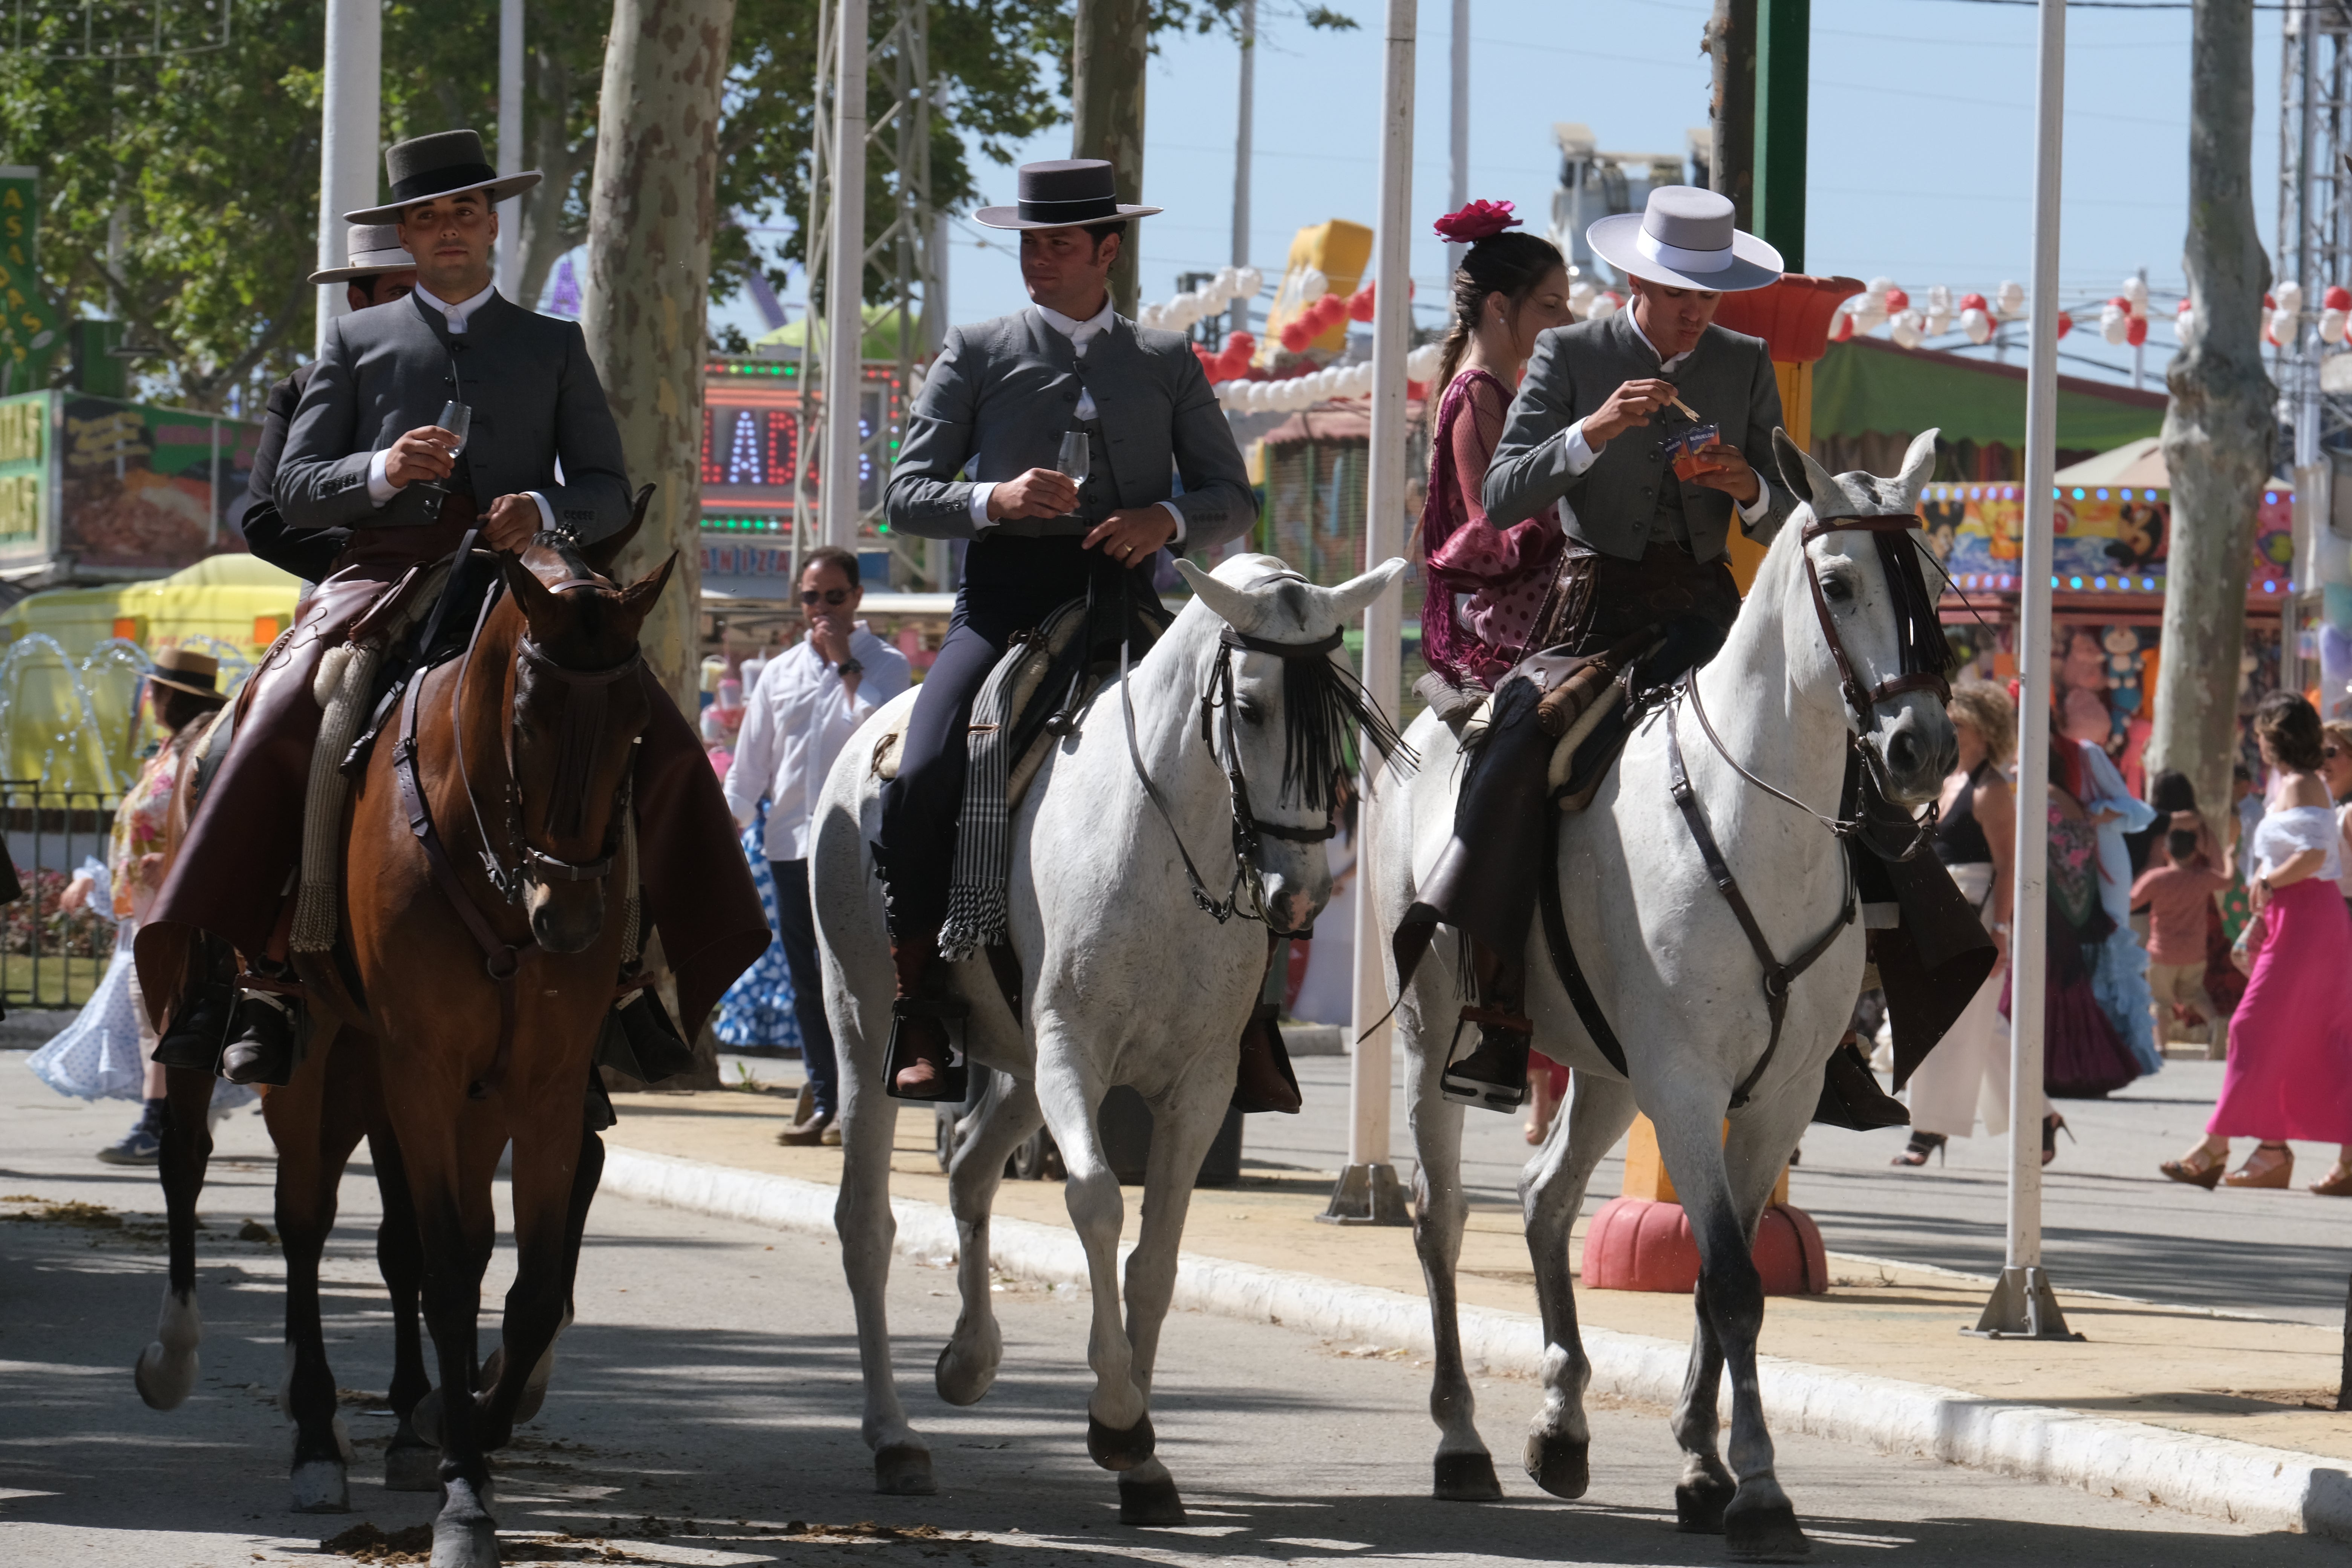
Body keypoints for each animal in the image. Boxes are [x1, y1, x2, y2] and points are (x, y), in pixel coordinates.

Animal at [814, 552, 1392, 1523]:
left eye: (1344, 717)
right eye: (1250, 708)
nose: (1306, 894)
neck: (1162, 842)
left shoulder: (1197, 1087)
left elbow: (1155, 1257)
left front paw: (1143, 1462)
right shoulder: (1074, 1057)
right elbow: (1097, 1203)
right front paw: (1118, 1419)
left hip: (1017, 1065)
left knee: (969, 1168)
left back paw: (968, 1359)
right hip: (867, 1028)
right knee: (866, 1222)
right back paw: (893, 1436)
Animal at [1374, 430, 1957, 1561]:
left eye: (1925, 572)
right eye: (1837, 581)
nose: (1923, 749)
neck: (1753, 820)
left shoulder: (1774, 1099)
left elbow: (1716, 1277)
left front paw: (1702, 1464)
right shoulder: (1685, 1087)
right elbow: (1728, 1277)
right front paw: (1758, 1488)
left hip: (1604, 1071)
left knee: (1544, 1199)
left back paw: (1561, 1427)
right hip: (1432, 1041)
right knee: (1441, 1221)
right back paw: (1460, 1439)